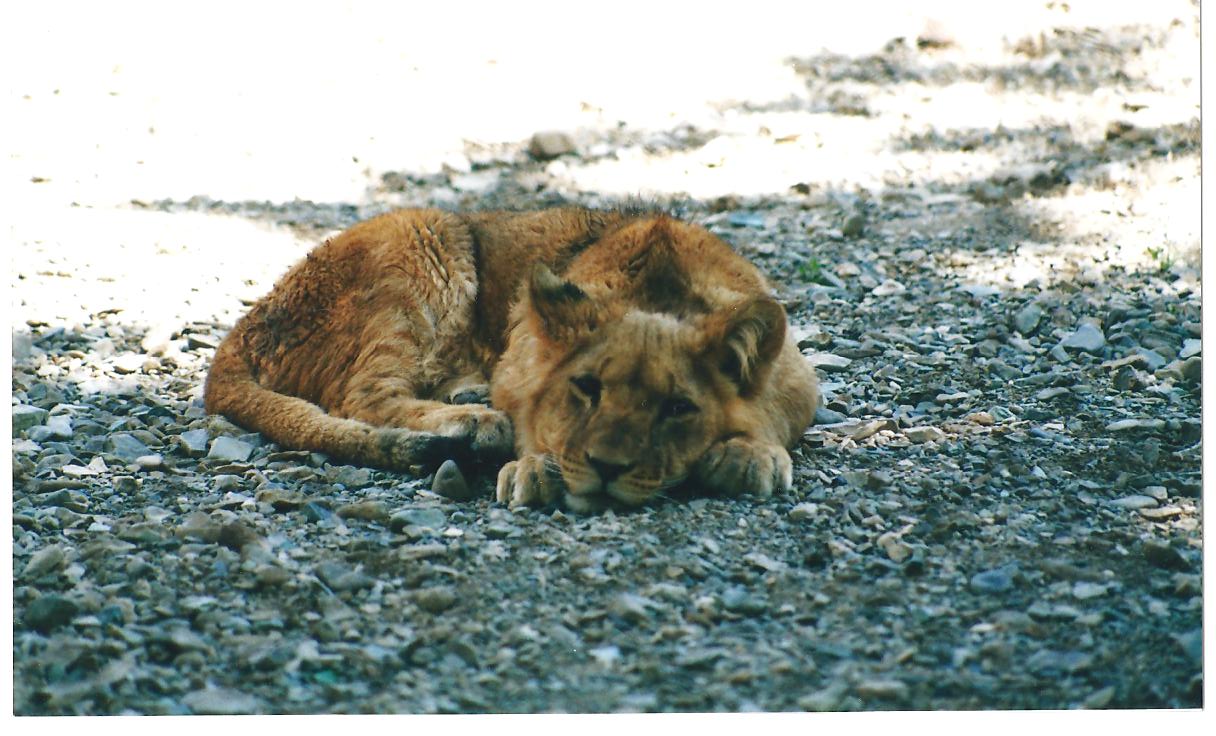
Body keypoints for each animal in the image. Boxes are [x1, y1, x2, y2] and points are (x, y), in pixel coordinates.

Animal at [204, 206, 819, 512]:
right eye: (586, 389)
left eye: (675, 408)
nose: (608, 468)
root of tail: (246, 324)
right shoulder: (520, 354)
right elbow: (531, 413)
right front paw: (536, 466)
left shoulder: (798, 375)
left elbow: (771, 412)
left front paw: (748, 455)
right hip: (422, 236)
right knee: (362, 395)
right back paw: (473, 422)